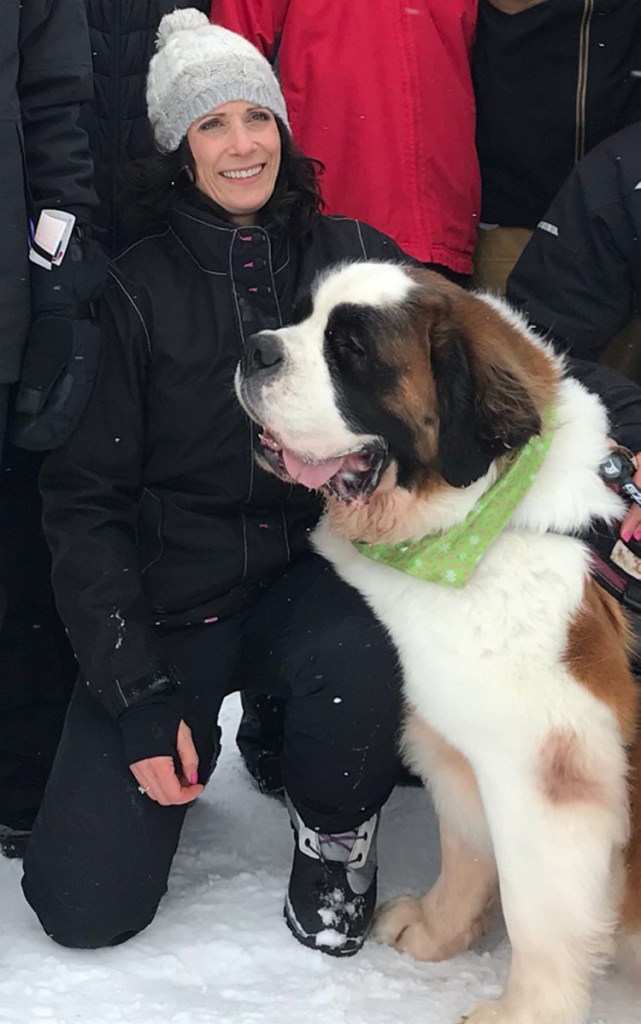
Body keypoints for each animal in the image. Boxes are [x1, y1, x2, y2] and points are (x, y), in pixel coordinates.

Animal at [233, 264, 638, 1024]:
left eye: (351, 352)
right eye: (300, 316)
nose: (256, 348)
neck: (486, 522)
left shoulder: (546, 769)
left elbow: (538, 911)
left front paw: (521, 1013)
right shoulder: (456, 746)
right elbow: (467, 853)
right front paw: (434, 931)